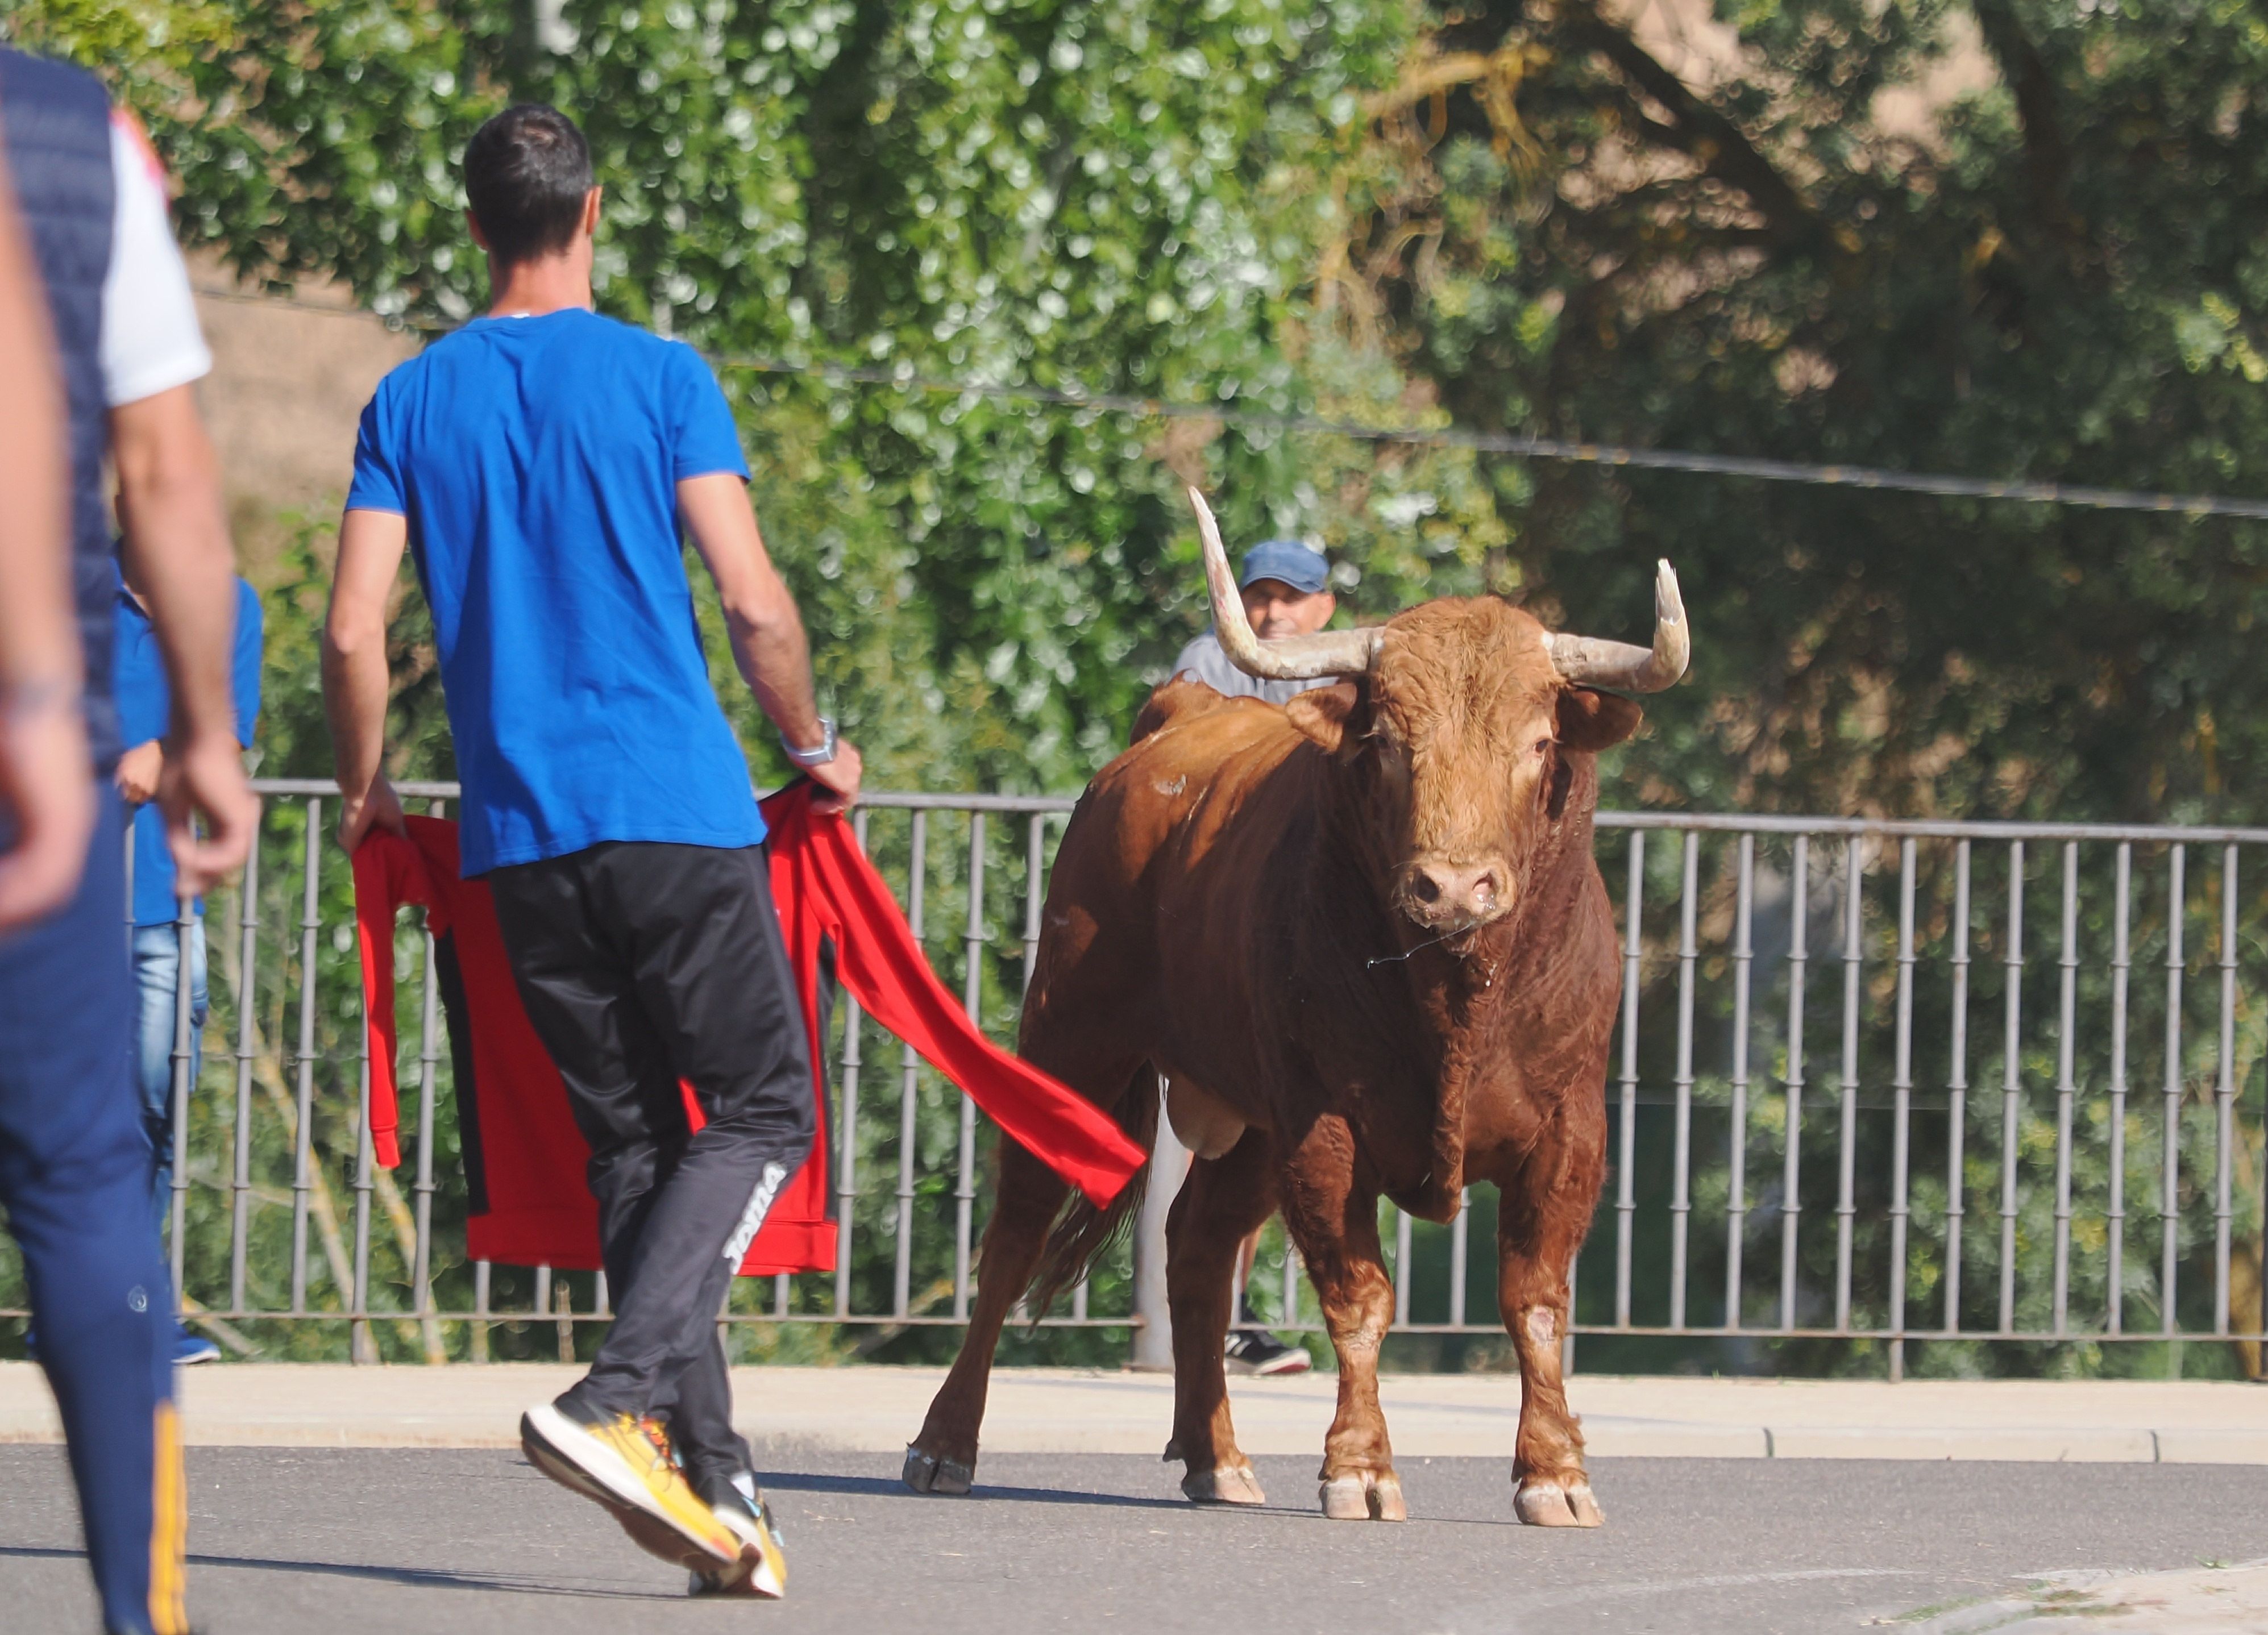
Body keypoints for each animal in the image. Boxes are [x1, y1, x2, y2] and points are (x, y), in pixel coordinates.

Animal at [903, 485, 1687, 1515]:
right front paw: (1360, 1466)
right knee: (1015, 1232)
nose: (1452, 887)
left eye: (1540, 742)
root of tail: (1175, 716)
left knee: (1196, 1246)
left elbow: (1535, 1303)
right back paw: (944, 1443)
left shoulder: (1568, 1131)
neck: (1454, 999)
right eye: (1388, 743)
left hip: (1250, 1124)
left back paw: (1216, 1456)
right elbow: (1359, 1297)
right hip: (1074, 1039)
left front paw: (1555, 1473)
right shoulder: (1325, 1126)